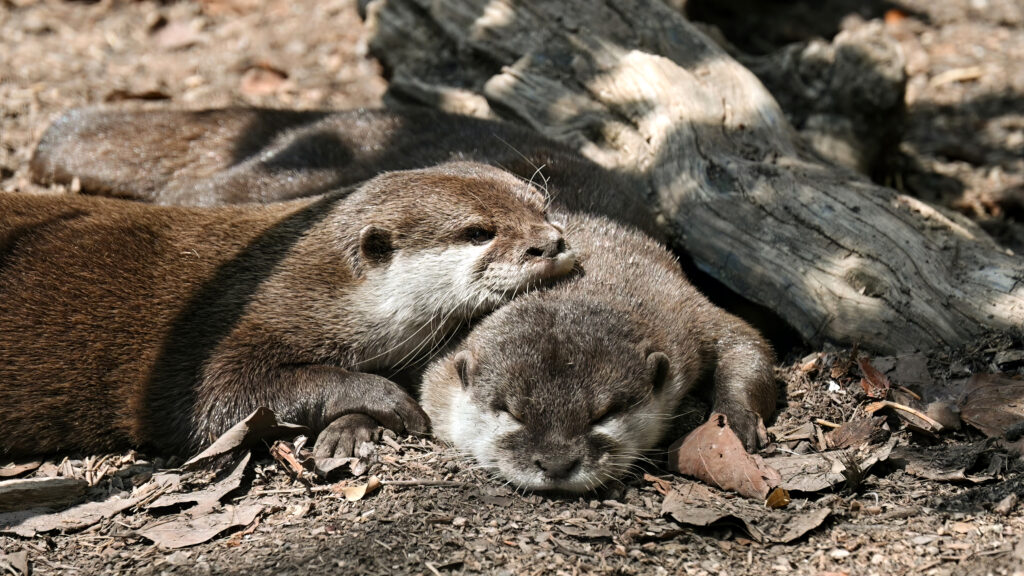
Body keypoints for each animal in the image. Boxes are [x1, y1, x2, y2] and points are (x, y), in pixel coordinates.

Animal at [0, 161, 577, 457]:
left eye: (541, 206)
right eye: (479, 232)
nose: (551, 243)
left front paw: (349, 431)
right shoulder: (210, 335)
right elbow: (217, 400)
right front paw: (386, 401)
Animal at [417, 212, 774, 494]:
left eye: (604, 414)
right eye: (511, 413)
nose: (556, 464)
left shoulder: (682, 313)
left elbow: (743, 338)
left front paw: (737, 419)